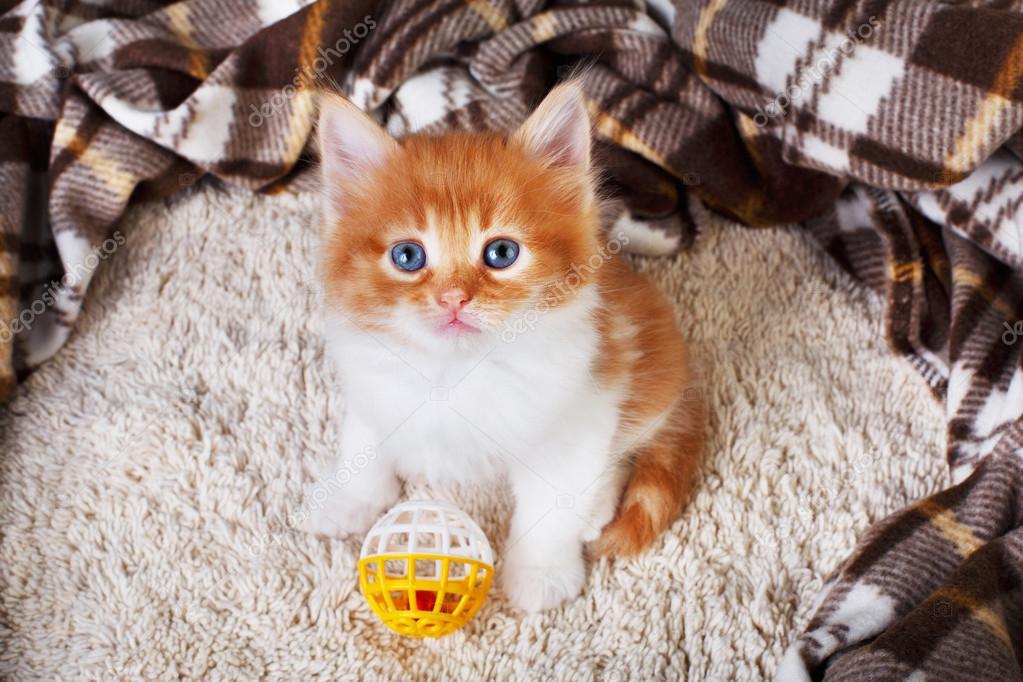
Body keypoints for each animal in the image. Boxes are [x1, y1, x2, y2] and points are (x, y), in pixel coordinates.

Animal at [304, 81, 703, 613]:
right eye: (407, 256)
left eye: (501, 253)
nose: (454, 298)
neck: (456, 371)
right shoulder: (374, 379)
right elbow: (364, 438)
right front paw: (352, 501)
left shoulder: (578, 413)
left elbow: (551, 506)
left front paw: (541, 574)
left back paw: (594, 511)